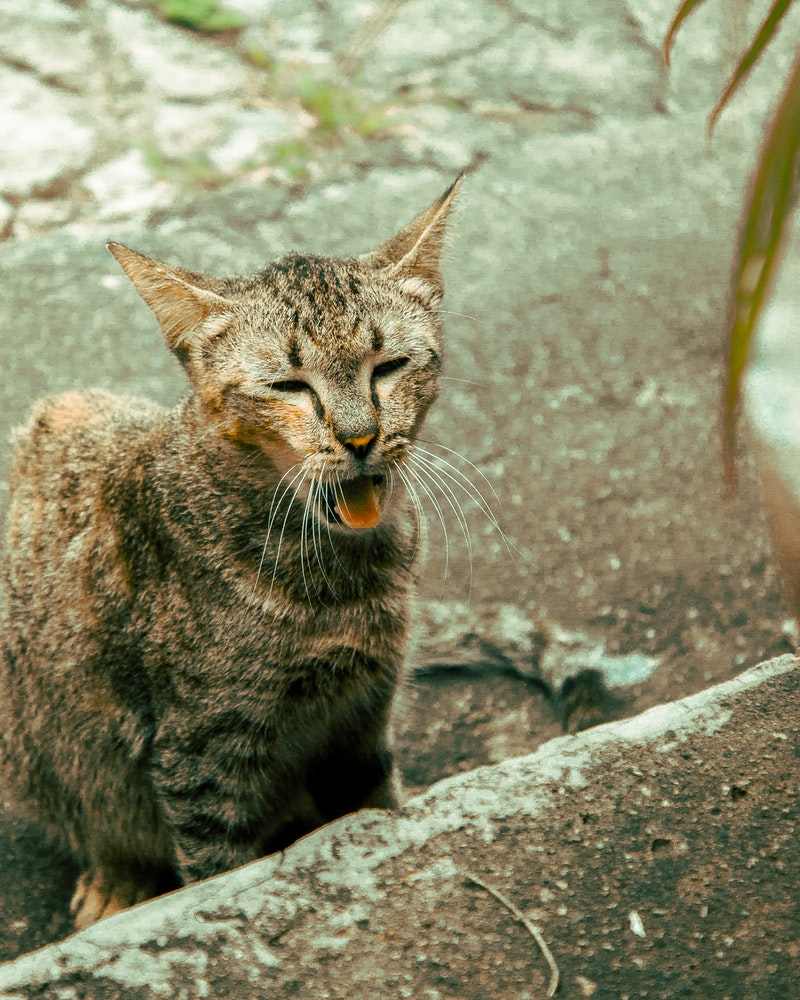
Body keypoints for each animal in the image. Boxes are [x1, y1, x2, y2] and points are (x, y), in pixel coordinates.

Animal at [0, 174, 462, 928]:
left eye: (389, 367)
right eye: (288, 386)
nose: (361, 437)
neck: (340, 577)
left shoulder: (361, 716)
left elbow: (375, 805)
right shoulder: (200, 752)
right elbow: (220, 873)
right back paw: (116, 881)